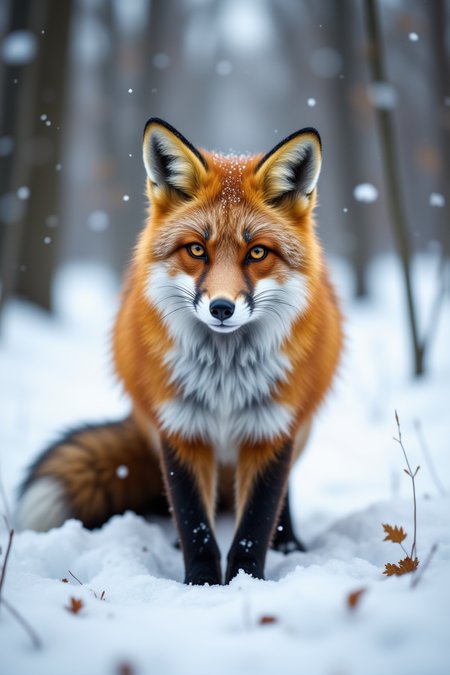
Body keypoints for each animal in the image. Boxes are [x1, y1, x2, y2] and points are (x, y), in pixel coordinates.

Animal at [17, 118, 343, 585]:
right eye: (197, 249)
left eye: (257, 252)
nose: (221, 308)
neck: (226, 380)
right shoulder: (179, 425)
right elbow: (194, 522)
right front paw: (202, 584)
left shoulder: (272, 427)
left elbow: (255, 523)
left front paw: (245, 581)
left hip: (300, 427)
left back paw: (289, 541)